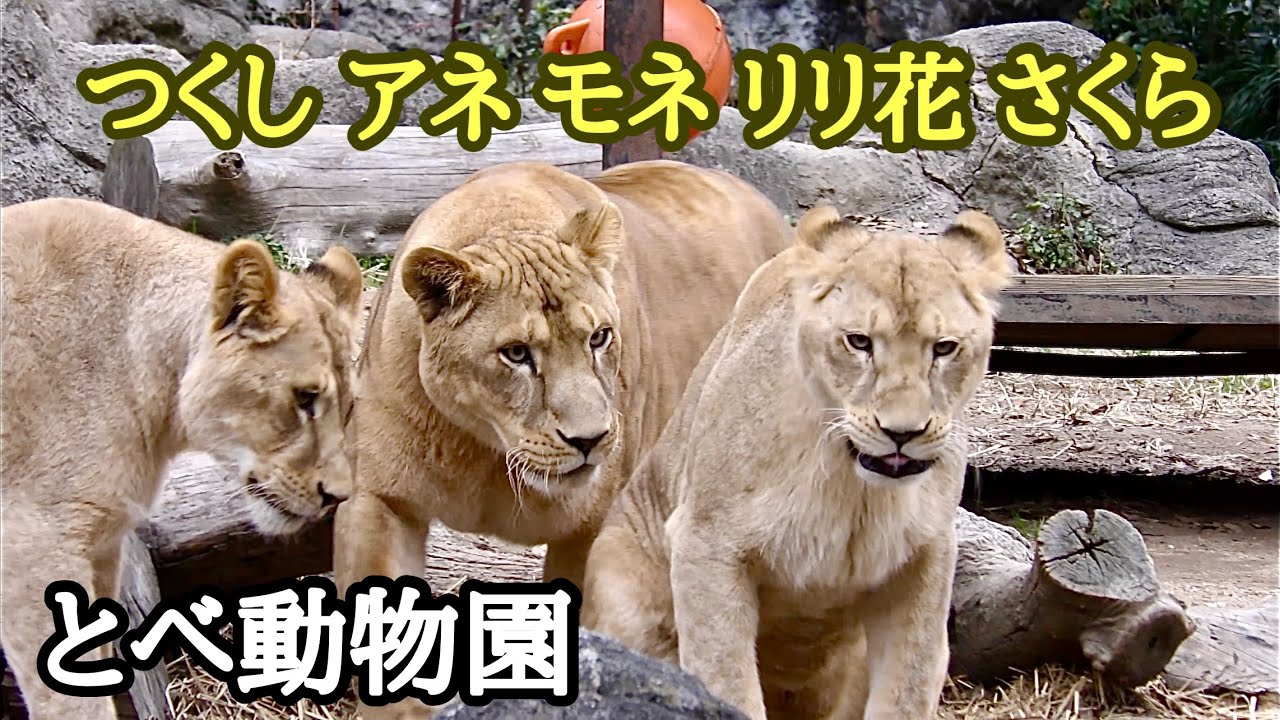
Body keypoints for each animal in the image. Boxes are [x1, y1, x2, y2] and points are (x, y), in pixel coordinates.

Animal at [331, 159, 794, 718]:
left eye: (599, 337)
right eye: (515, 353)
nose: (591, 439)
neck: (486, 451)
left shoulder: (593, 528)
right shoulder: (382, 500)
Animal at [579, 205, 1013, 720]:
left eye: (944, 347)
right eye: (859, 342)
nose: (902, 434)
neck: (854, 488)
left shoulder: (924, 557)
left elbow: (909, 684)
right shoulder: (707, 543)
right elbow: (726, 677)